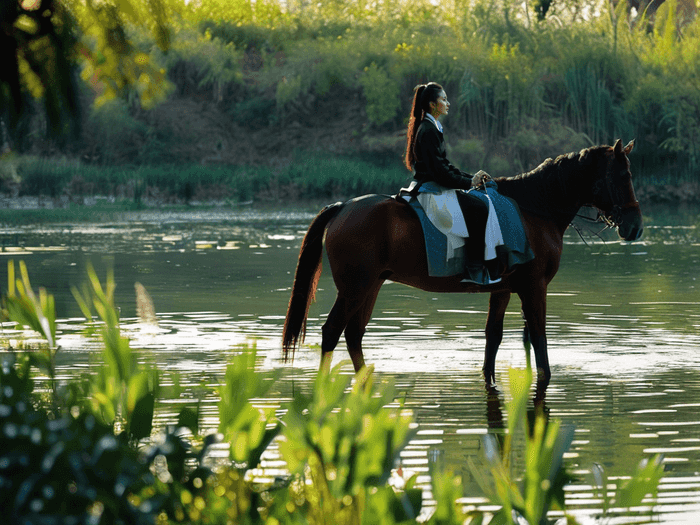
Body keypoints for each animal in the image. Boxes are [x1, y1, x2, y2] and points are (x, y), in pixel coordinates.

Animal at [282, 139, 644, 388]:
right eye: (622, 175)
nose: (635, 227)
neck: (535, 209)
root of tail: (344, 206)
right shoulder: (534, 287)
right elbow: (539, 339)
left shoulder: (504, 289)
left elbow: (494, 337)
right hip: (355, 287)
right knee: (331, 332)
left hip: (370, 286)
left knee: (353, 335)